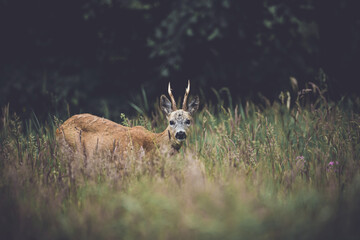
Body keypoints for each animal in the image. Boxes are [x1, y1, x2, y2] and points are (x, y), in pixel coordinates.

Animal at [55, 81, 200, 158]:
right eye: (171, 121)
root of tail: (59, 128)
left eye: (188, 121)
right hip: (72, 149)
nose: (180, 133)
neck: (155, 143)